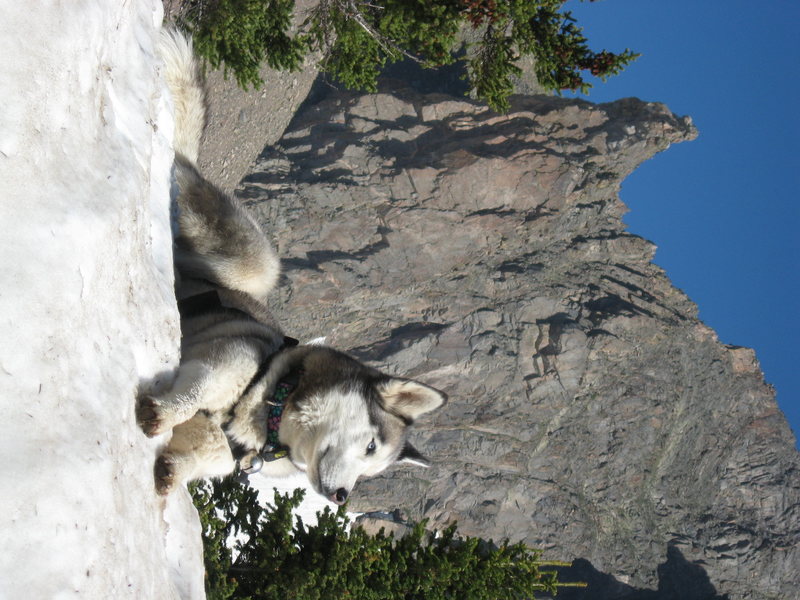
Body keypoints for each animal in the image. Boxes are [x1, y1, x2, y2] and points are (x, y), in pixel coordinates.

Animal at [140, 30, 446, 504]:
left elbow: (194, 455)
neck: (267, 409)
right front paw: (164, 413)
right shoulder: (222, 363)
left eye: (372, 472)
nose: (342, 497)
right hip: (256, 263)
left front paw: (170, 475)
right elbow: (190, 397)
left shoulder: (219, 449)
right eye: (371, 447)